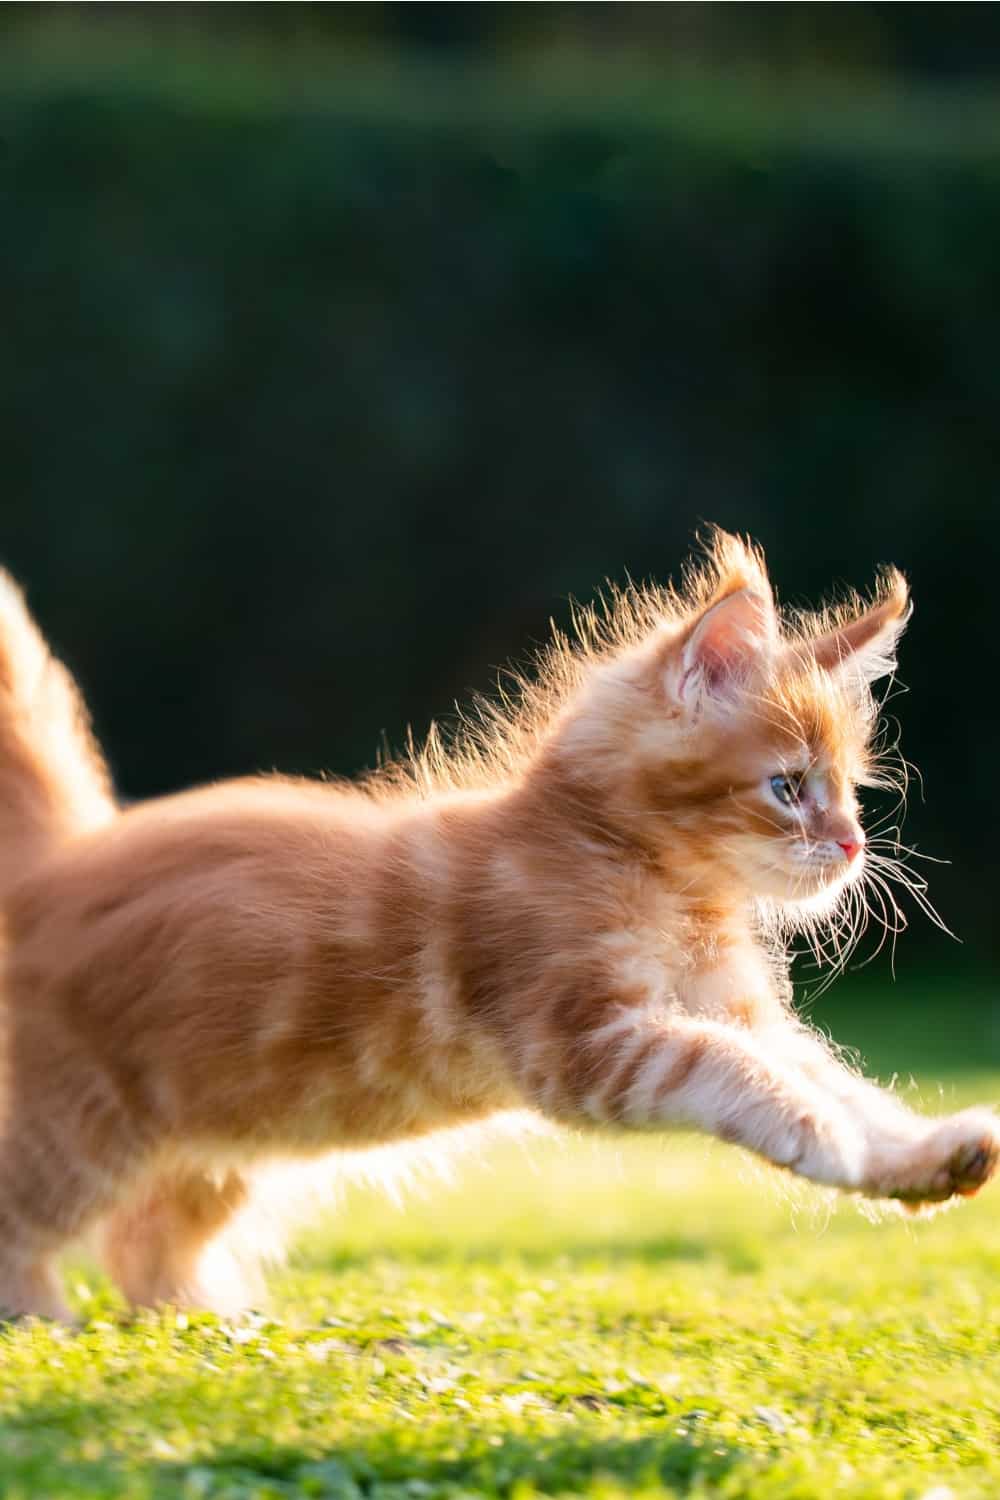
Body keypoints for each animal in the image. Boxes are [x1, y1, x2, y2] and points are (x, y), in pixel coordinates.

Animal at [0, 534, 995, 1320]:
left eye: (851, 791)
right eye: (788, 787)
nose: (853, 843)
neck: (659, 882)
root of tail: (59, 869)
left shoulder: (737, 1012)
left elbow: (841, 1081)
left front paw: (920, 1155)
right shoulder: (588, 1041)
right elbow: (746, 1075)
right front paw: (828, 1139)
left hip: (229, 1140)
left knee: (143, 1241)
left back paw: (209, 1319)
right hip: (79, 1131)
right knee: (28, 1224)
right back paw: (45, 1318)